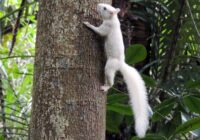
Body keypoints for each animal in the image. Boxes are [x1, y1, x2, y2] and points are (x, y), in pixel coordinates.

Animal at [83, 3, 150, 138]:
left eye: (105, 8)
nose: (98, 5)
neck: (113, 19)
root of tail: (121, 64)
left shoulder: (106, 27)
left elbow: (99, 31)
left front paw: (88, 24)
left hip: (110, 65)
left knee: (110, 80)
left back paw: (106, 87)